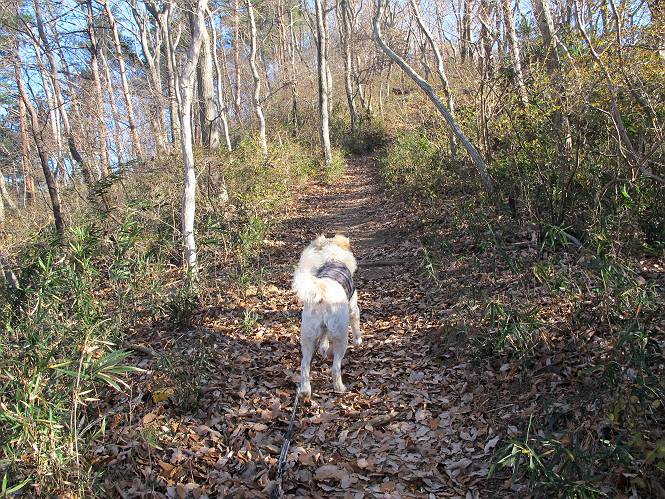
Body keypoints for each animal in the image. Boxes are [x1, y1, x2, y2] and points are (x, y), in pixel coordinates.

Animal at [292, 234, 361, 399]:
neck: (332, 257)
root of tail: (322, 290)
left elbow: (323, 341)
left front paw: (323, 349)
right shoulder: (353, 308)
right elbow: (356, 326)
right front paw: (358, 341)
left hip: (308, 336)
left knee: (304, 366)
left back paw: (305, 390)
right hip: (341, 335)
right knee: (335, 367)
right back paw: (339, 387)